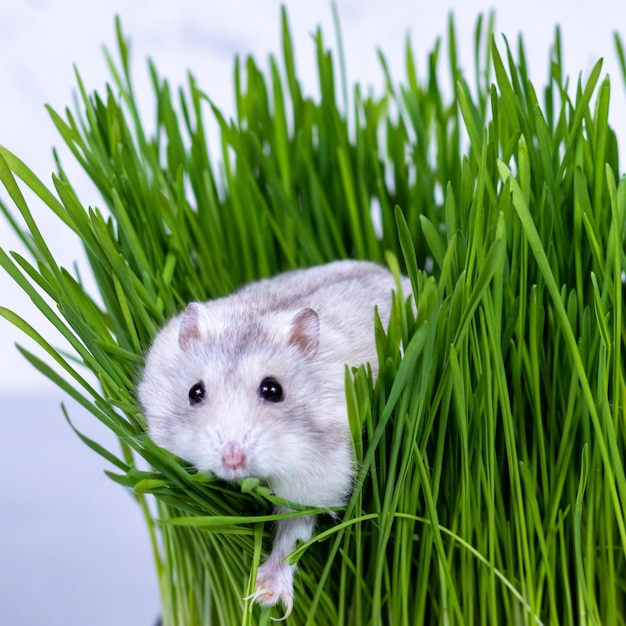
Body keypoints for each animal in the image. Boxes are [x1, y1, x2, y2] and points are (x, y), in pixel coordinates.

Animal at [136, 258, 410, 616]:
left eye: (273, 390)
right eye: (195, 392)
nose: (232, 460)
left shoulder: (317, 481)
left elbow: (294, 535)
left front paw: (264, 598)